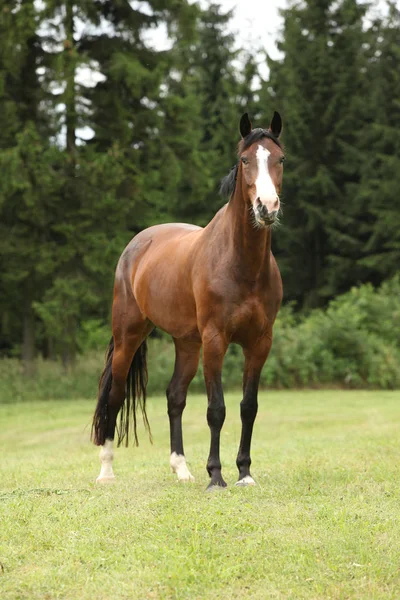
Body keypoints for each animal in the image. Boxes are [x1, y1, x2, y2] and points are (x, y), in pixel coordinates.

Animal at [91, 110, 284, 490]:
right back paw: (106, 471)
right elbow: (216, 409)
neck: (241, 264)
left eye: (280, 159)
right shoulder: (215, 340)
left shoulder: (259, 343)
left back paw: (181, 468)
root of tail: (136, 246)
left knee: (174, 397)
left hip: (187, 343)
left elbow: (248, 407)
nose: (266, 207)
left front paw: (244, 473)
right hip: (129, 337)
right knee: (115, 395)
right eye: (245, 160)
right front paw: (216, 477)